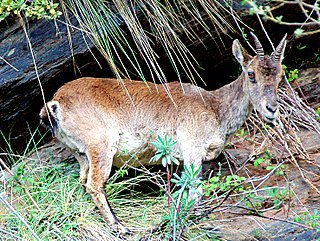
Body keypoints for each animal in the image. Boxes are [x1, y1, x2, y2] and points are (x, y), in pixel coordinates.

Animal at [40, 33, 288, 233]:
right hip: (100, 145)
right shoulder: (191, 148)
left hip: (81, 154)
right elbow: (196, 191)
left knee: (83, 181)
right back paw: (120, 227)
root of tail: (56, 104)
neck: (214, 107)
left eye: (280, 76)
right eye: (251, 74)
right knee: (94, 184)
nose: (272, 109)